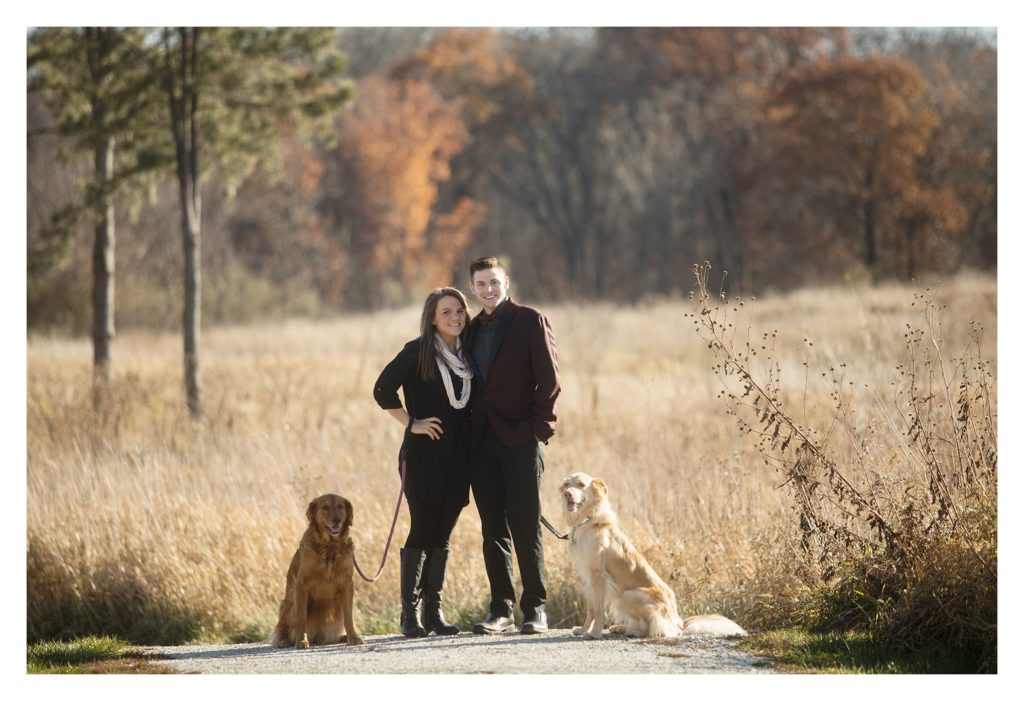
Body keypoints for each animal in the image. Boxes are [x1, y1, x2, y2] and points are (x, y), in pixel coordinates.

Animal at [272, 493, 364, 647]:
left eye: (340, 506)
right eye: (325, 507)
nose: (337, 520)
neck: (329, 546)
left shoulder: (347, 584)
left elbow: (348, 617)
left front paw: (353, 637)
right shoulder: (302, 585)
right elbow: (301, 619)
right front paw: (301, 640)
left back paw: (342, 637)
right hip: (288, 604)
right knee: (282, 627)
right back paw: (285, 640)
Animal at [561, 473, 745, 639]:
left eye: (581, 484)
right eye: (566, 484)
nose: (567, 493)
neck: (586, 523)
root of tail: (679, 623)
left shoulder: (598, 577)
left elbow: (599, 611)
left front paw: (594, 633)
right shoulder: (588, 578)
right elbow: (591, 609)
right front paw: (583, 629)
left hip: (628, 595)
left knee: (656, 628)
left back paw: (634, 631)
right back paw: (621, 627)